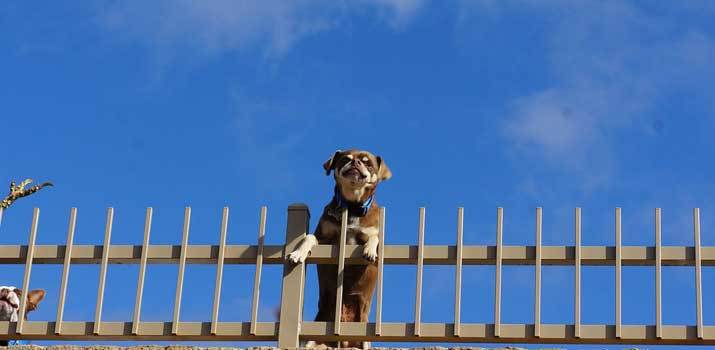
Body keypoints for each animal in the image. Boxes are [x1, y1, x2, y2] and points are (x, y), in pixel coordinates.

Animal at [288, 149, 394, 348]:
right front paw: (298, 253)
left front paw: (369, 250)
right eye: (345, 159)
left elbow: (374, 237)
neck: (352, 207)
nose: (356, 163)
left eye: (368, 163)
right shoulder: (324, 238)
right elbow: (309, 237)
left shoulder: (372, 231)